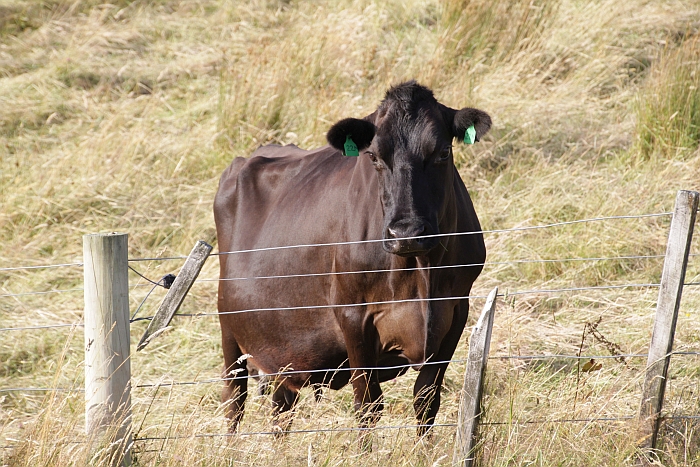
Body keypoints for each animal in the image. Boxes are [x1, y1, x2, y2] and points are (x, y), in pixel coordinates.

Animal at [213, 80, 492, 438]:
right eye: (373, 156)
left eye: (443, 152)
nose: (407, 232)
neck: (420, 274)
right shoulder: (352, 315)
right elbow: (368, 404)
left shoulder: (456, 309)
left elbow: (427, 400)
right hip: (228, 326)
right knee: (234, 398)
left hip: (282, 345)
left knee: (281, 406)